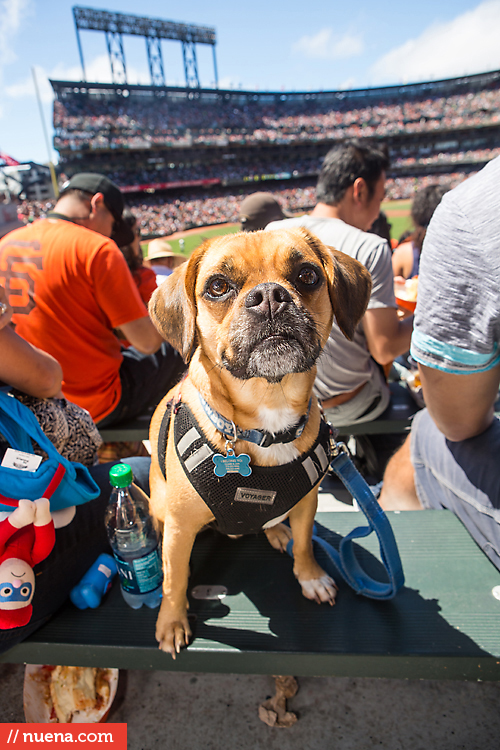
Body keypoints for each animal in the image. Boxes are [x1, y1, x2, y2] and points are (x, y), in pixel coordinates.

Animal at [146, 228, 370, 656]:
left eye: (308, 275)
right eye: (217, 286)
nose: (268, 295)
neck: (270, 413)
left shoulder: (308, 503)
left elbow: (306, 542)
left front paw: (310, 576)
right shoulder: (181, 528)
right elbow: (174, 580)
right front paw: (171, 621)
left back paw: (277, 530)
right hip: (162, 509)